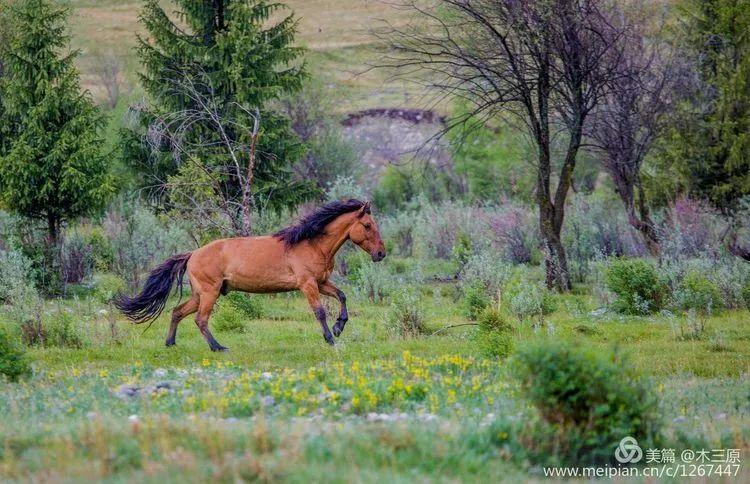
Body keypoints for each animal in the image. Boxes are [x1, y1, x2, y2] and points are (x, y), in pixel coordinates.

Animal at [119, 200, 388, 352]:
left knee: (177, 312)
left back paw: (171, 343)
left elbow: (342, 296)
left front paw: (339, 326)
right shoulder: (308, 284)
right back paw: (218, 347)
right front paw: (331, 338)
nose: (381, 254)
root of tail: (193, 254)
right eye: (367, 225)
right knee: (200, 320)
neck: (311, 244)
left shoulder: (321, 282)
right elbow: (319, 312)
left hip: (199, 294)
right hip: (209, 293)